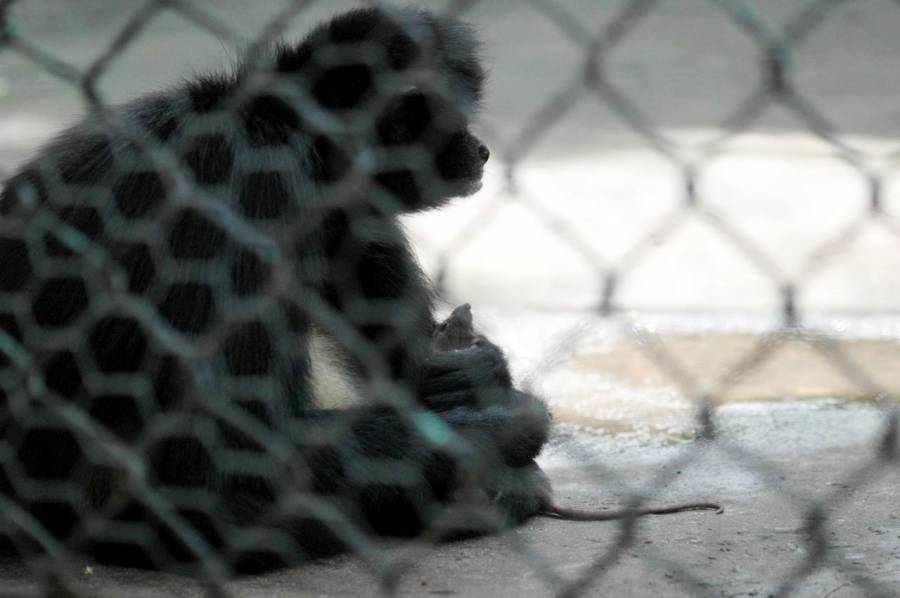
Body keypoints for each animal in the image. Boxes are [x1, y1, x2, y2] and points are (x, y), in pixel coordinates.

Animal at [0, 7, 548, 576]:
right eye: (450, 119)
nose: (480, 150)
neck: (278, 122)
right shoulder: (250, 184)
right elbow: (218, 455)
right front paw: (506, 424)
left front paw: (474, 378)